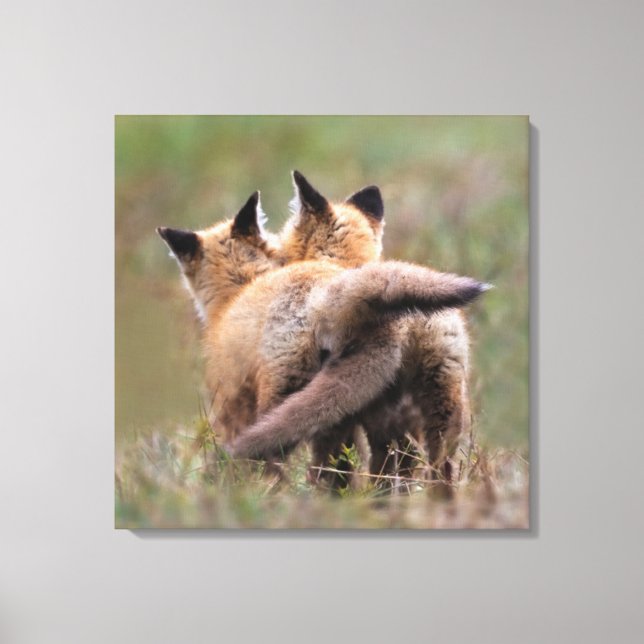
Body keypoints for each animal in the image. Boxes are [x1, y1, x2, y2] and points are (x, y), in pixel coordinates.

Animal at [158, 175, 488, 485]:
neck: (240, 289)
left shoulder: (231, 399)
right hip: (427, 414)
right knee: (419, 474)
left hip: (290, 402)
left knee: (281, 469)